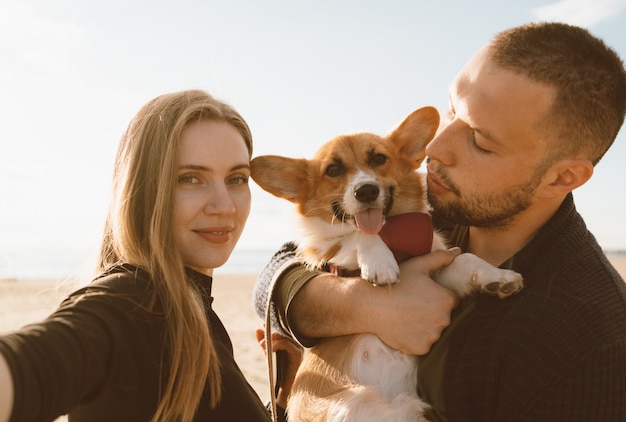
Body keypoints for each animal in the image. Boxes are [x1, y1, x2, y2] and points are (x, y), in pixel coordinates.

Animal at [250, 107, 520, 420]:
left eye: (379, 159)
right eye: (333, 170)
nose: (366, 191)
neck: (396, 236)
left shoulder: (434, 263)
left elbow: (464, 258)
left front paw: (497, 276)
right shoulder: (328, 251)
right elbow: (358, 235)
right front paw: (380, 263)